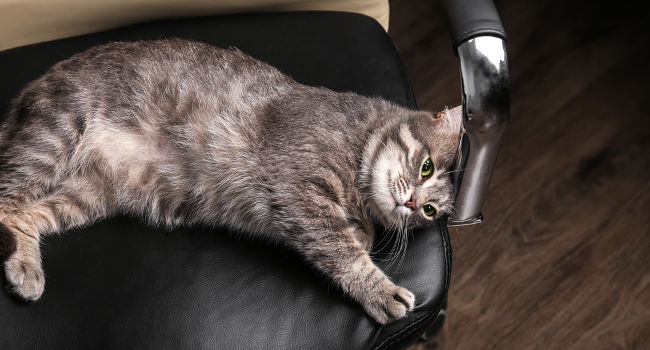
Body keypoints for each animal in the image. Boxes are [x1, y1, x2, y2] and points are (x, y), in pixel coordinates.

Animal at [0, 39, 460, 326]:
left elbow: (355, 236)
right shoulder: (296, 188)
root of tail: (25, 94)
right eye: (426, 168)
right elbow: (343, 252)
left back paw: (26, 266)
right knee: (7, 199)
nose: (414, 204)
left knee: (25, 215)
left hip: (89, 192)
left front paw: (364, 232)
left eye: (431, 211)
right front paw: (380, 290)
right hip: (53, 135)